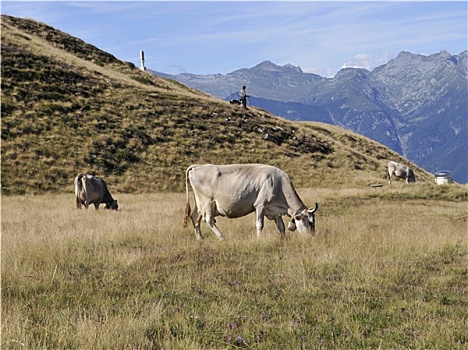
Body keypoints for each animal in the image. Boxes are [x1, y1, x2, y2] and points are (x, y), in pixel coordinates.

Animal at [183, 164, 318, 241]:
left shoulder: (274, 210)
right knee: (208, 220)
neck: (278, 183)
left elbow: (281, 226)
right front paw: (259, 239)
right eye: (310, 222)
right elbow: (259, 225)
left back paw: (200, 238)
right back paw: (222, 238)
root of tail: (198, 166)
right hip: (208, 202)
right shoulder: (260, 206)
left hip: (199, 204)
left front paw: (284, 240)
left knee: (195, 217)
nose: (312, 237)